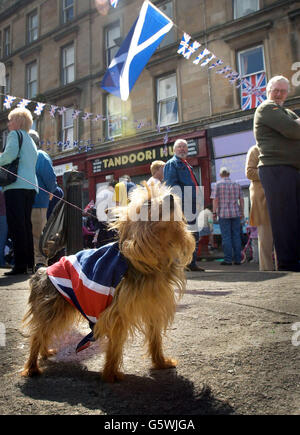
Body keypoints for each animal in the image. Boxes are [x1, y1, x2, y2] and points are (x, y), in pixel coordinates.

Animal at [21, 182, 195, 384]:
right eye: (148, 203)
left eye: (165, 193)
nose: (171, 198)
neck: (151, 257)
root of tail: (42, 271)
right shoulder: (117, 314)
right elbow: (115, 344)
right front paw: (111, 373)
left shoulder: (153, 307)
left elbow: (155, 337)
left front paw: (160, 362)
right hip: (55, 310)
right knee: (38, 334)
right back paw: (32, 366)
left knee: (43, 333)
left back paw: (45, 352)